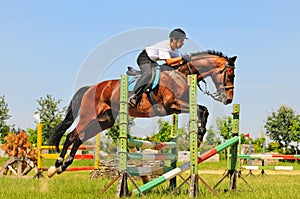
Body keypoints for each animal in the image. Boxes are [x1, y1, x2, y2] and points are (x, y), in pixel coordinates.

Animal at [47, 49, 237, 177]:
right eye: (230, 75)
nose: (228, 100)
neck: (181, 74)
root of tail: (91, 88)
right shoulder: (172, 104)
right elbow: (200, 109)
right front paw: (199, 134)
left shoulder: (176, 107)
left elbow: (203, 110)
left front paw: (199, 135)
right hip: (89, 116)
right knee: (72, 135)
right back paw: (56, 165)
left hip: (104, 120)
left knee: (79, 138)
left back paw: (63, 166)